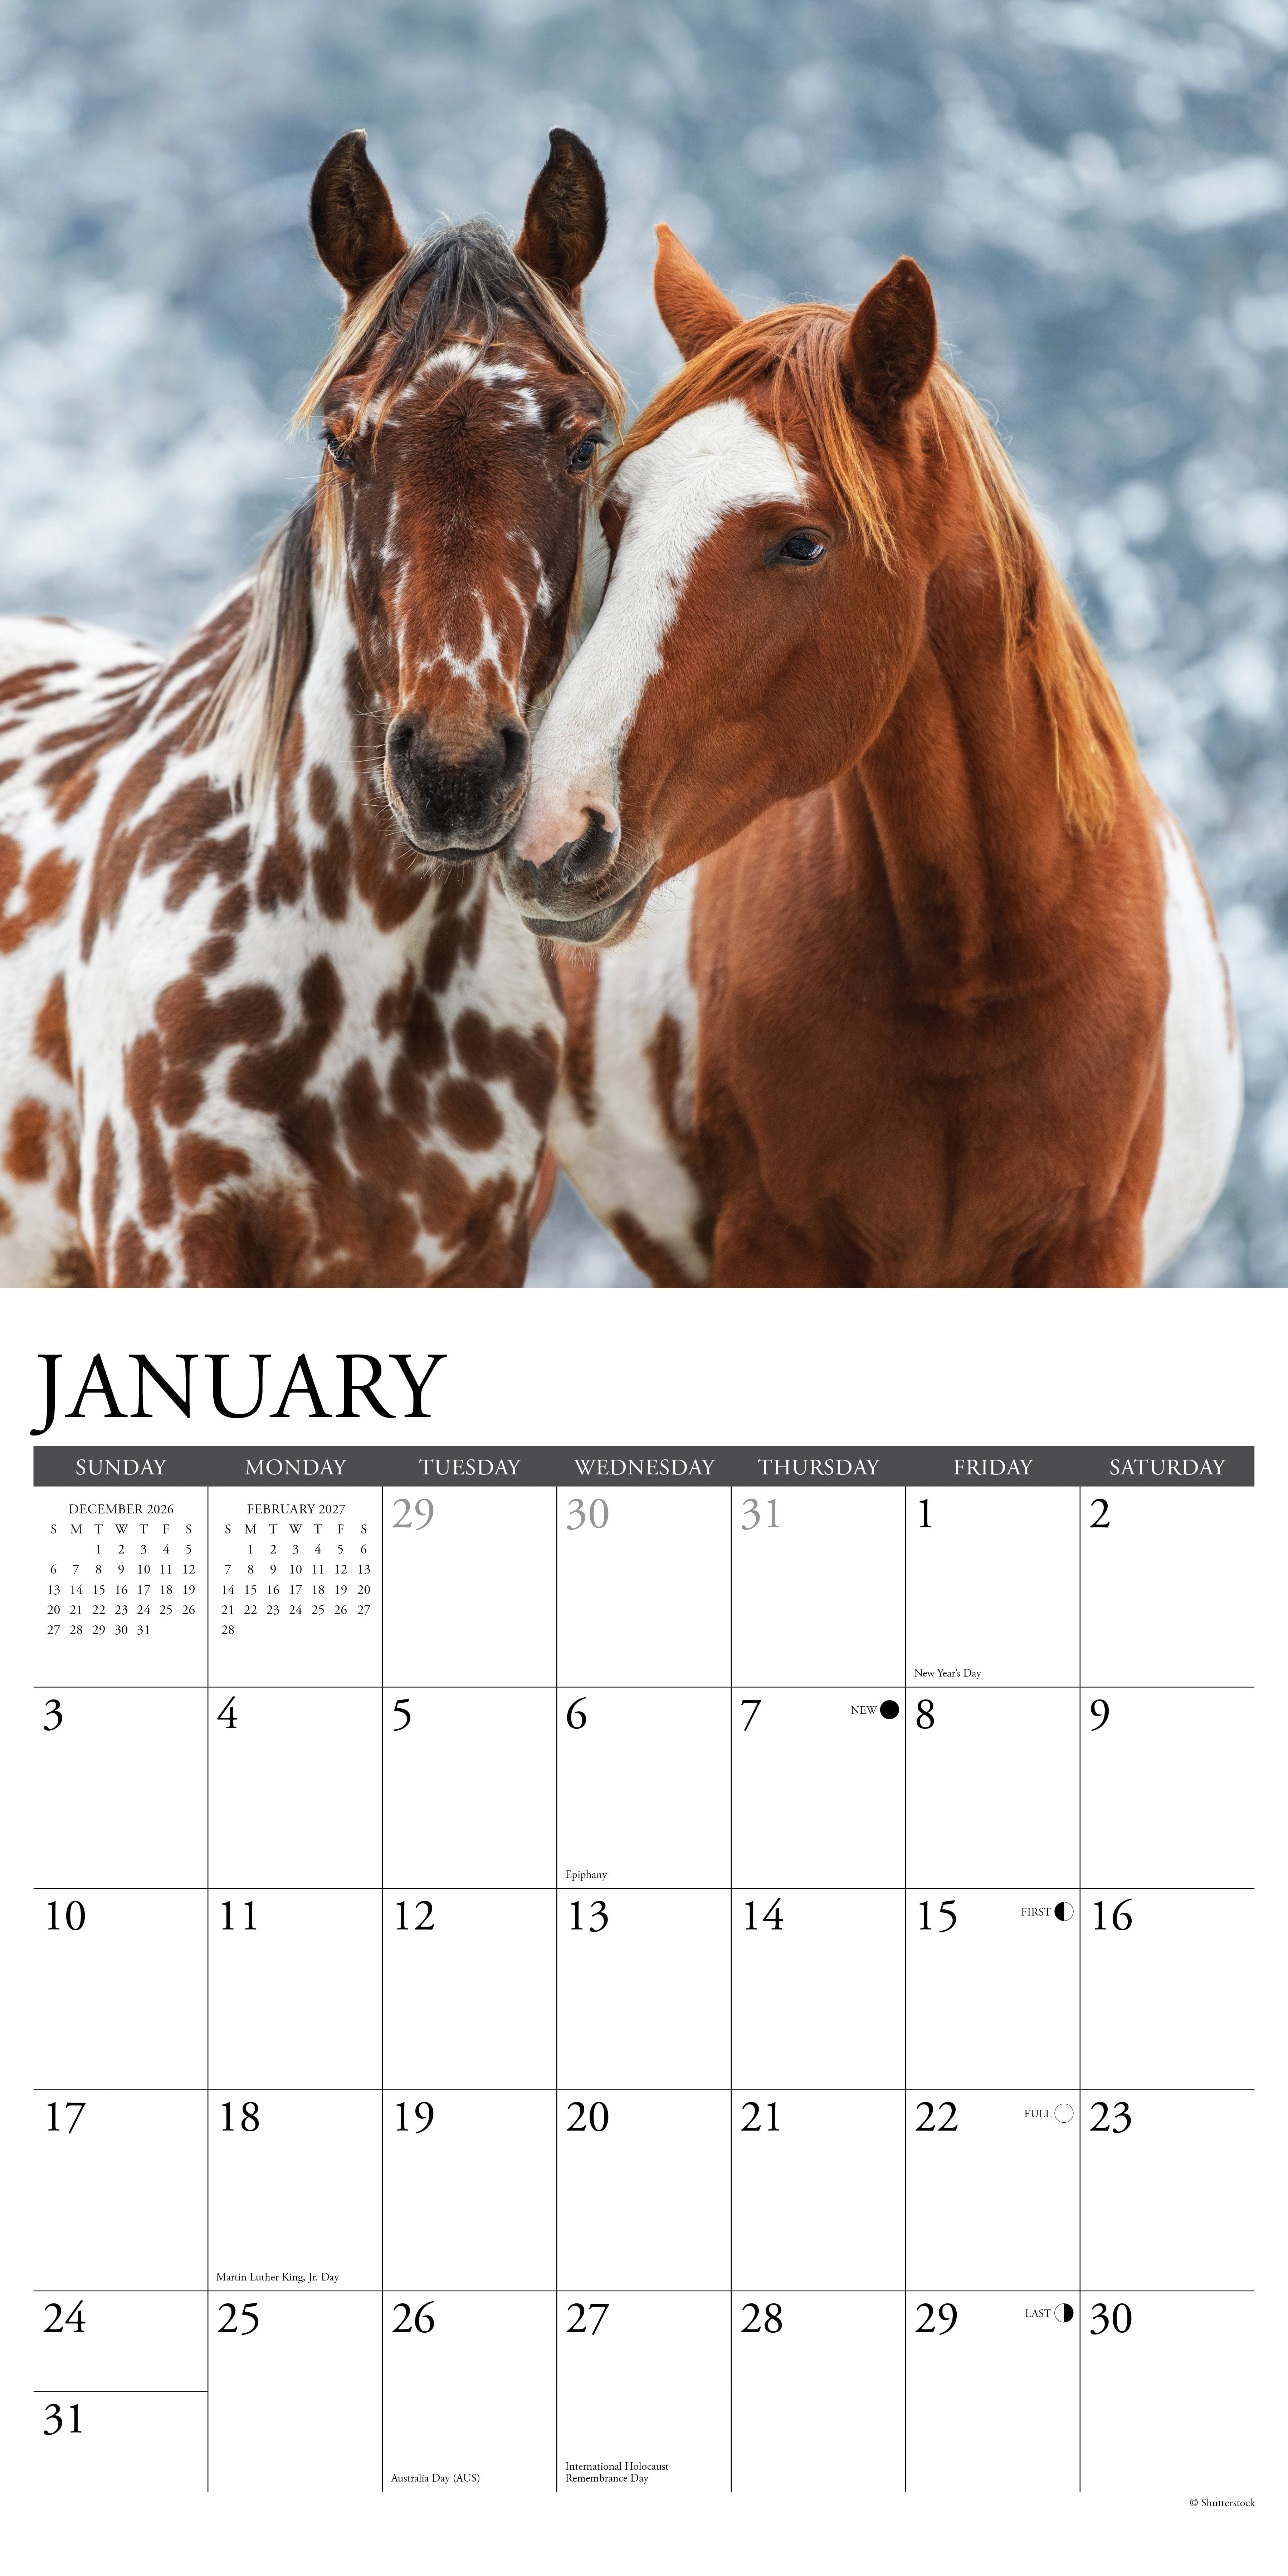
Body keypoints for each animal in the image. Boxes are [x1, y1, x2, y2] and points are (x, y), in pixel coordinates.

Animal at [498, 229, 1242, 1289]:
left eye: (803, 545)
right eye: (617, 519)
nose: (553, 833)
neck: (969, 979)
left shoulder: (1091, 1249)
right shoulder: (773, 1243)